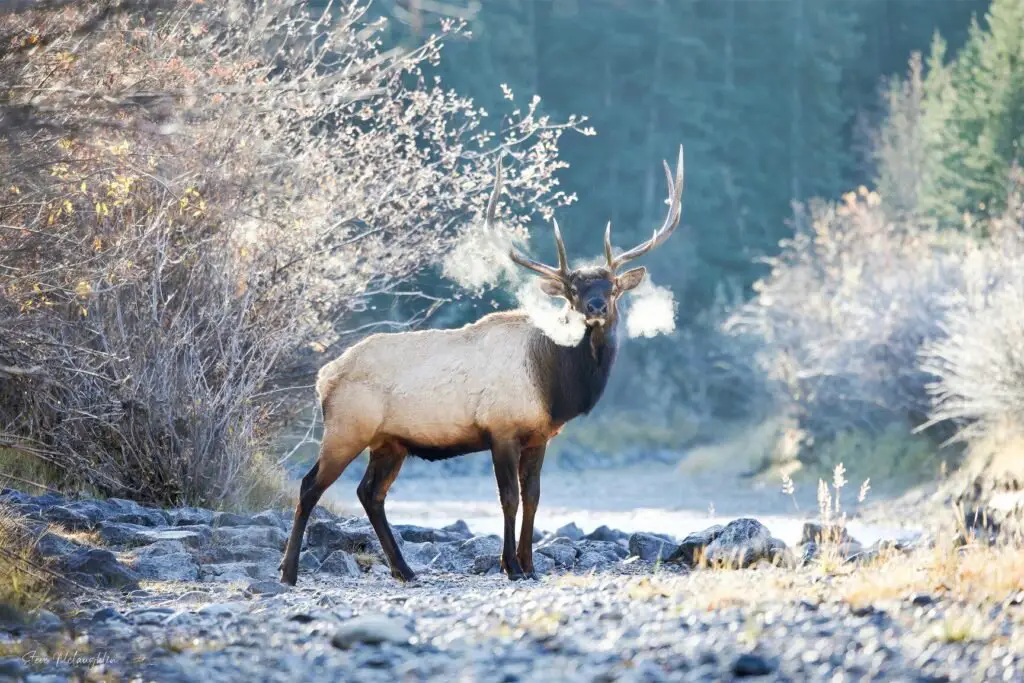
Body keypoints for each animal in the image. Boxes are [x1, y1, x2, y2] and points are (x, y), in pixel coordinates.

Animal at [276, 147, 684, 585]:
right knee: (310, 486)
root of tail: (323, 379)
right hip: (347, 428)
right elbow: (508, 498)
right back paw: (289, 571)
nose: (595, 307)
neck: (554, 384)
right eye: (572, 290)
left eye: (612, 288)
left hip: (389, 442)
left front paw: (530, 564)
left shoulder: (539, 436)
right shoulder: (501, 428)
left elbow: (534, 497)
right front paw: (511, 567)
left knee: (370, 493)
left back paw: (404, 569)